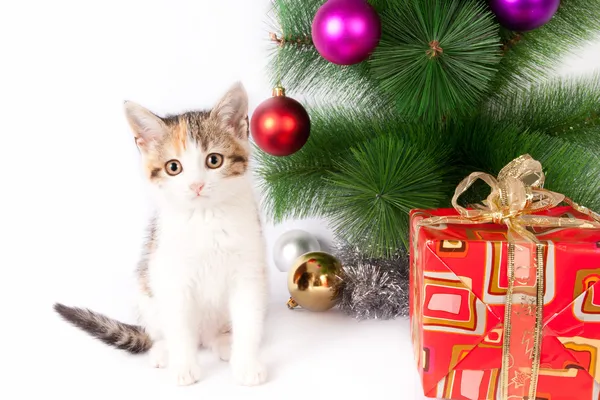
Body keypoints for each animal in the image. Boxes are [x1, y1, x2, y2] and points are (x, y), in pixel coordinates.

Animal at [54, 83, 270, 386]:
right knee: (163, 329)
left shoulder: (248, 271)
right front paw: (184, 367)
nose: (196, 185)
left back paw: (223, 342)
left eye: (214, 160)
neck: (205, 217)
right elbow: (179, 325)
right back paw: (164, 350)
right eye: (173, 167)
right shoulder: (172, 276)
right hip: (147, 290)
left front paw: (247, 364)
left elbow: (248, 320)